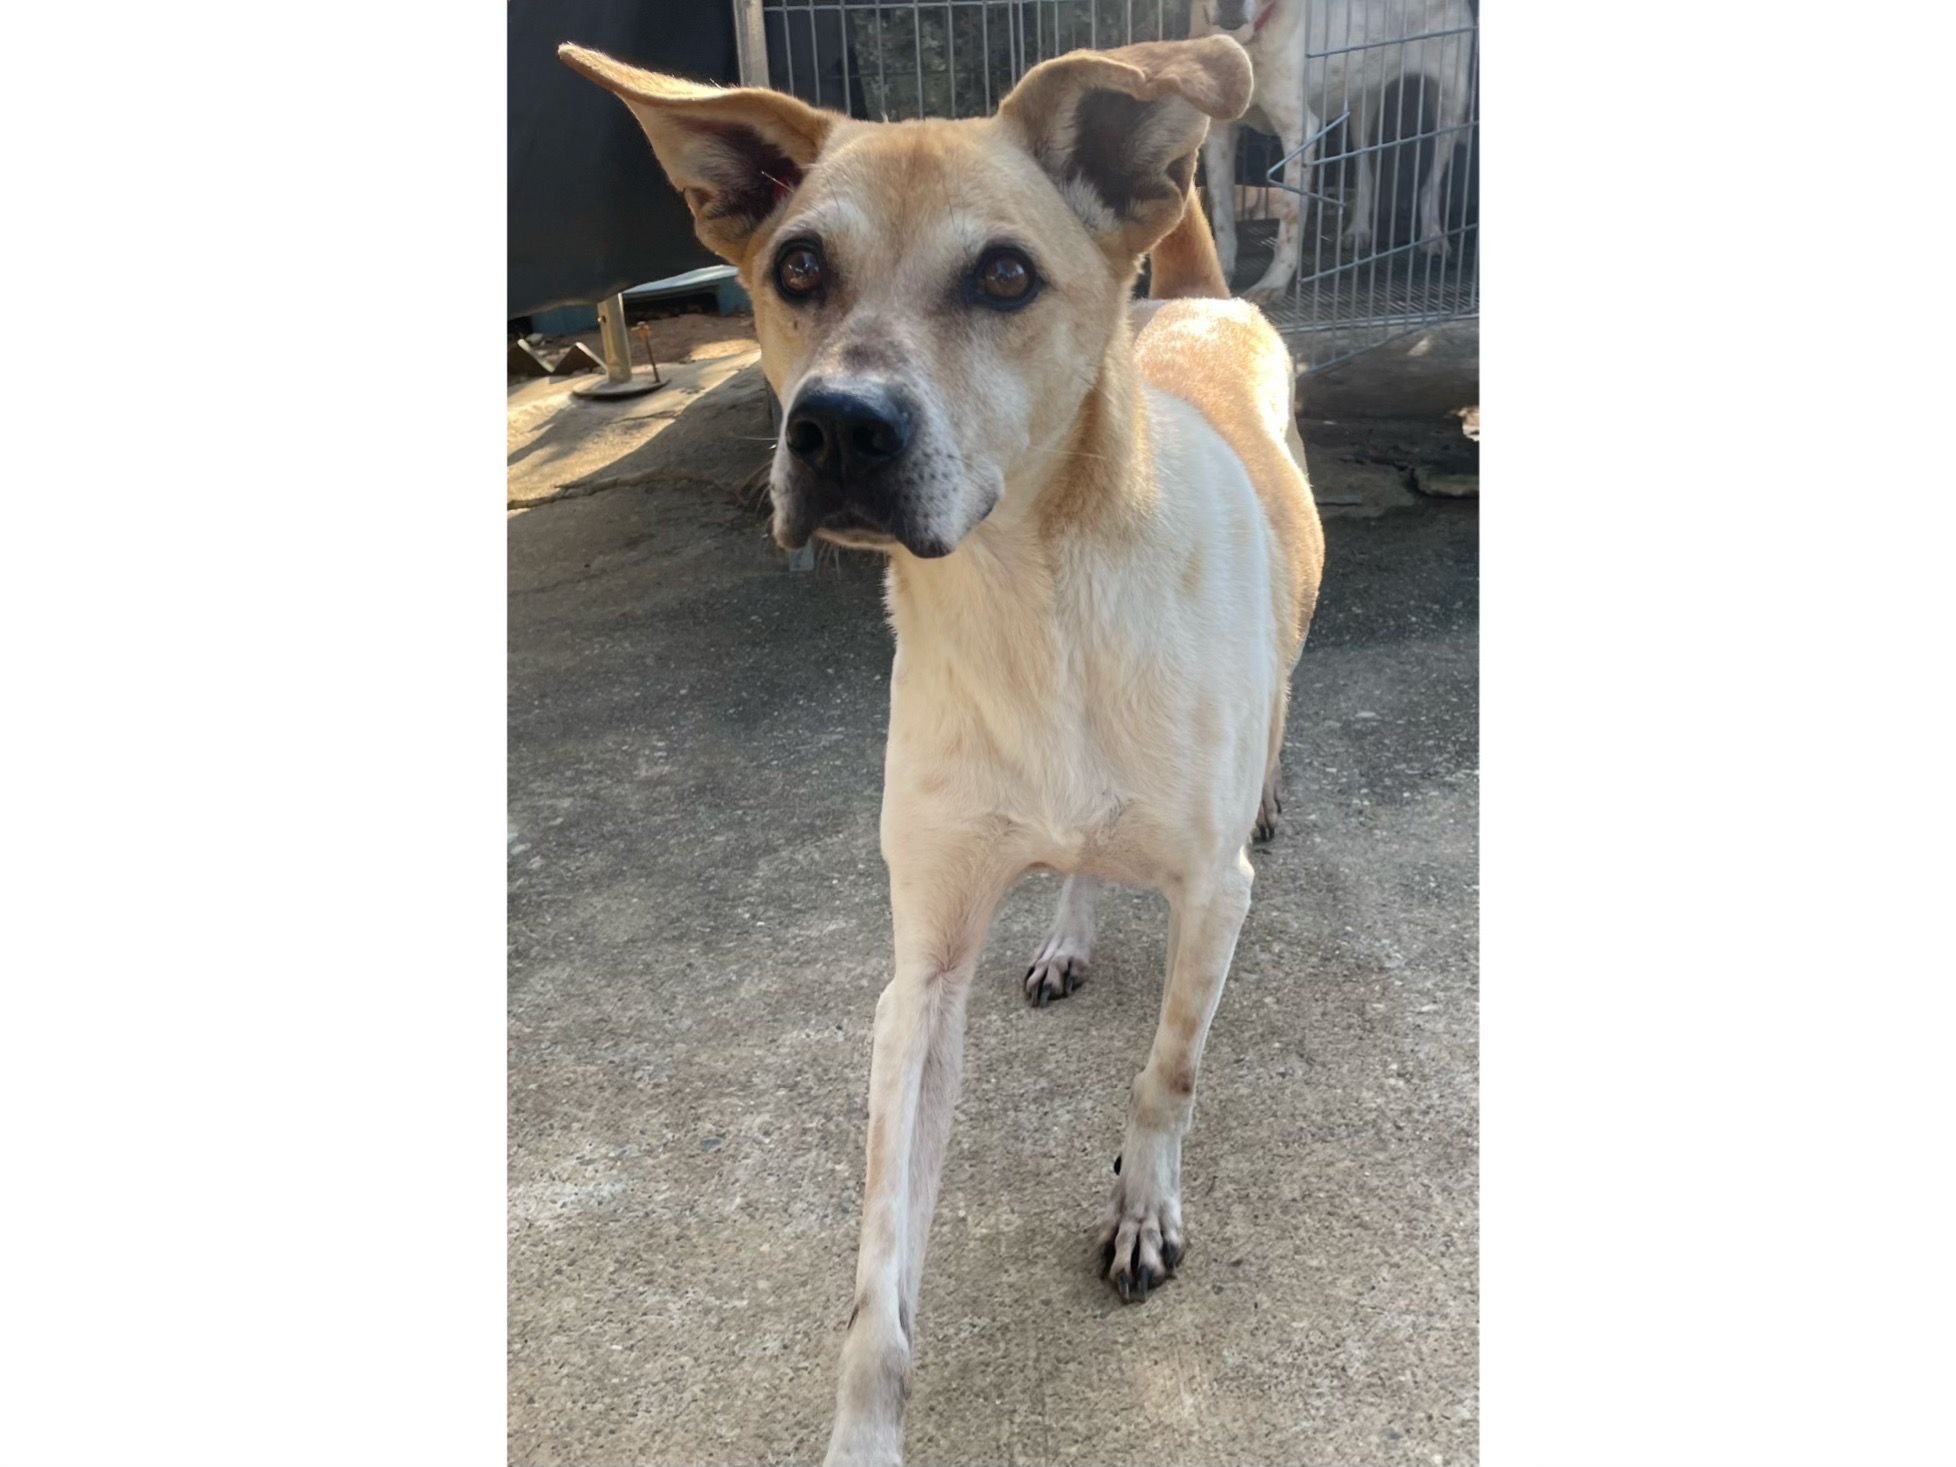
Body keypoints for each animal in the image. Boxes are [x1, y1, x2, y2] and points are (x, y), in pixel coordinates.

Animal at [562, 36, 1323, 1466]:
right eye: (799, 268)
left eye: (1006, 275)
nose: (837, 427)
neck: (1029, 608)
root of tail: (1200, 304)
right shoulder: (918, 981)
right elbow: (877, 1275)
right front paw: (864, 1425)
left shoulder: (1213, 900)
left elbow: (1168, 1070)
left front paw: (1144, 1206)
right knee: (1082, 866)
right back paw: (1070, 931)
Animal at [1192, 0, 1476, 299]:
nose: (1230, 4)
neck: (1245, 43)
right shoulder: (1218, 135)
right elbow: (1222, 219)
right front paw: (1218, 274)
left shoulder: (1299, 133)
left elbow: (1290, 220)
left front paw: (1274, 282)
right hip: (1362, 106)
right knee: (1365, 172)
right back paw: (1358, 230)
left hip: (1452, 103)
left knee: (1432, 182)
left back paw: (1433, 234)